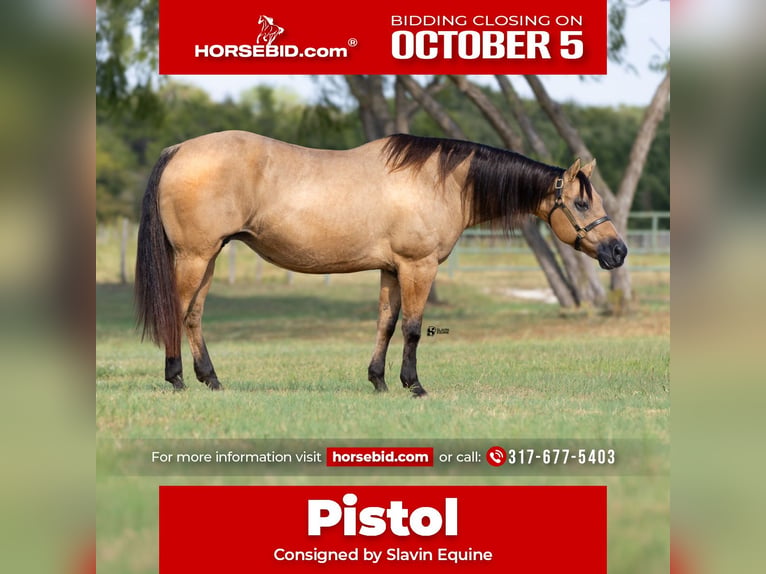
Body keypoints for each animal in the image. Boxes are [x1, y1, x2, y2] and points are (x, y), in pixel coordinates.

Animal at [135, 131, 627, 396]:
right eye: (582, 203)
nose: (618, 251)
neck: (439, 182)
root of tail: (179, 150)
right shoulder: (417, 266)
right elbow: (412, 327)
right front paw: (414, 385)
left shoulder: (391, 269)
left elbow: (386, 324)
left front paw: (379, 381)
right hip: (196, 256)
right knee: (178, 312)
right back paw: (177, 379)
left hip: (209, 256)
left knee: (194, 315)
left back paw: (211, 379)